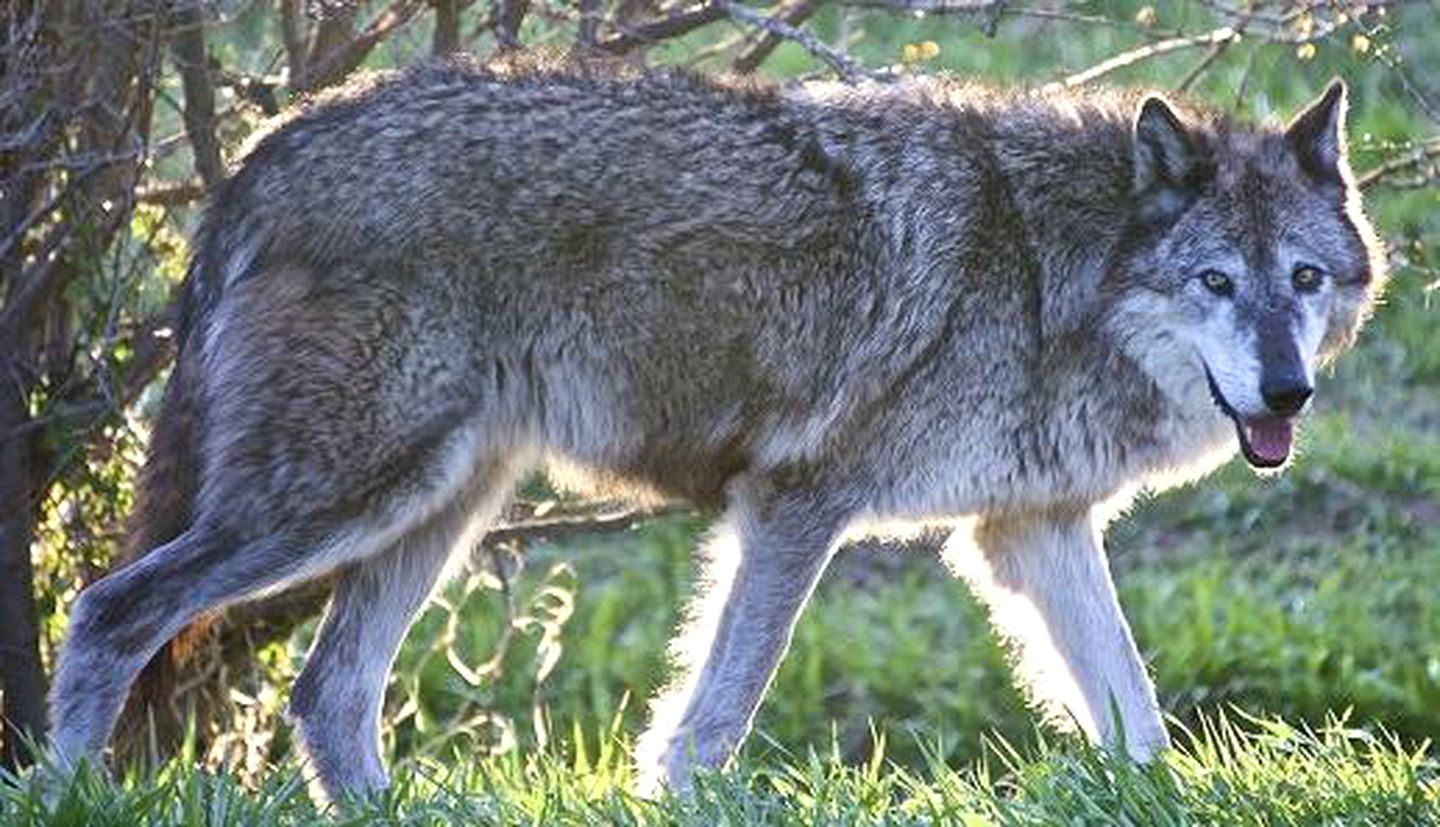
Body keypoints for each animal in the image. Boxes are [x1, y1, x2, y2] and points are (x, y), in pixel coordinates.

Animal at [47, 56, 1382, 795]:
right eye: (1217, 282)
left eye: (1305, 280)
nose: (1287, 393)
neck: (1052, 270)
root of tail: (269, 145)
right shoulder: (796, 508)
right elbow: (717, 710)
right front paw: (680, 793)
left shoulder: (1031, 531)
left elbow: (1137, 713)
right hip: (345, 500)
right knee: (111, 611)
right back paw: (66, 788)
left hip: (436, 509)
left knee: (327, 693)